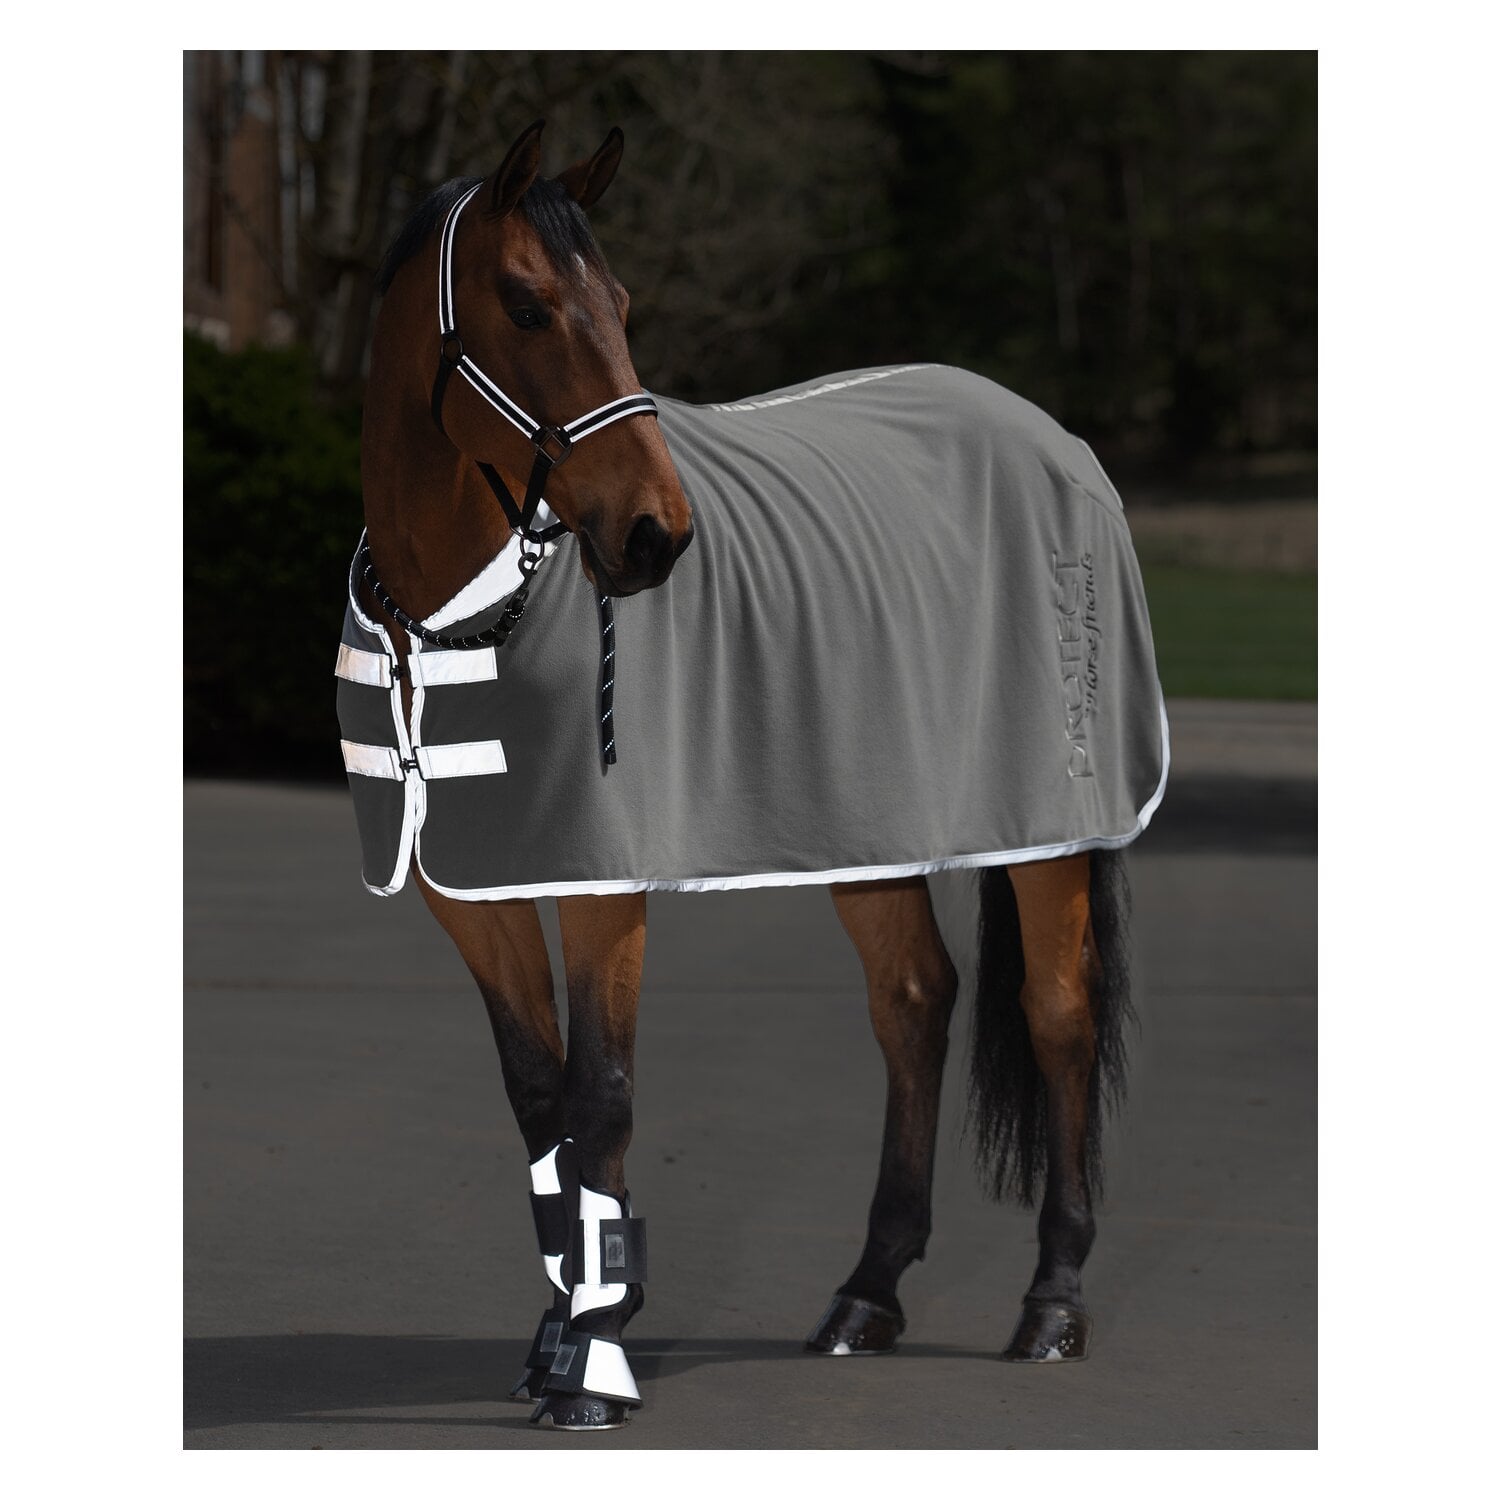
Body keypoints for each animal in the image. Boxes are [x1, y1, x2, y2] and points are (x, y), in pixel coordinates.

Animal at [339, 120, 1167, 1431]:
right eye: (524, 304)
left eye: (623, 304)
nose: (654, 536)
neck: (456, 619)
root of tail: (1050, 436)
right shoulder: (470, 896)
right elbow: (540, 1104)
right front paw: (557, 1336)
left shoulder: (603, 889)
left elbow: (602, 1097)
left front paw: (594, 1368)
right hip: (868, 824)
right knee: (915, 1000)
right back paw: (867, 1294)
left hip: (1049, 830)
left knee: (1057, 1013)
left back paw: (1051, 1305)